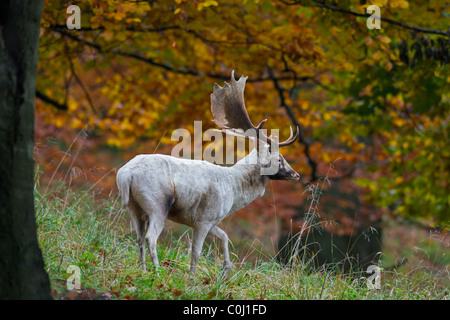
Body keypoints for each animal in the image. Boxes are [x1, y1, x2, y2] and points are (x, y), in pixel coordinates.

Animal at [115, 71, 298, 276]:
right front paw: (192, 276)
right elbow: (196, 251)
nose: (296, 174)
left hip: (134, 206)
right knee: (150, 238)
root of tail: (125, 175)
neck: (233, 189)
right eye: (280, 158)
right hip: (157, 203)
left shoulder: (211, 220)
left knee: (139, 238)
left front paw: (226, 270)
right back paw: (157, 271)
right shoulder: (205, 217)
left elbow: (225, 236)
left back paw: (143, 270)